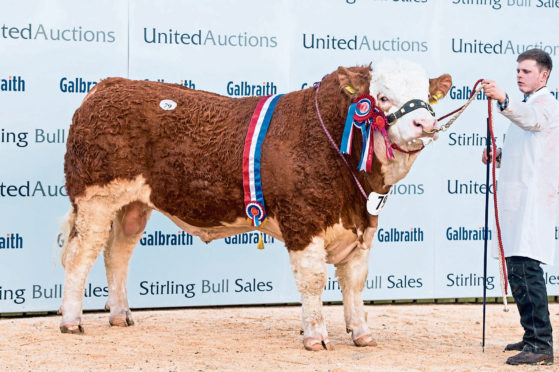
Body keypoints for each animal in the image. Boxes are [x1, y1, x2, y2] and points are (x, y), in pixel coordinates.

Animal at [59, 59, 452, 350]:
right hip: (94, 198)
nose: (425, 123)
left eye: (426, 96)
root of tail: (108, 84)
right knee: (80, 255)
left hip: (132, 206)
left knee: (117, 254)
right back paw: (71, 321)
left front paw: (362, 334)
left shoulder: (362, 225)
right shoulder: (303, 220)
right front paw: (316, 337)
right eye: (381, 97)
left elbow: (355, 282)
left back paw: (120, 315)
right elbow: (313, 280)